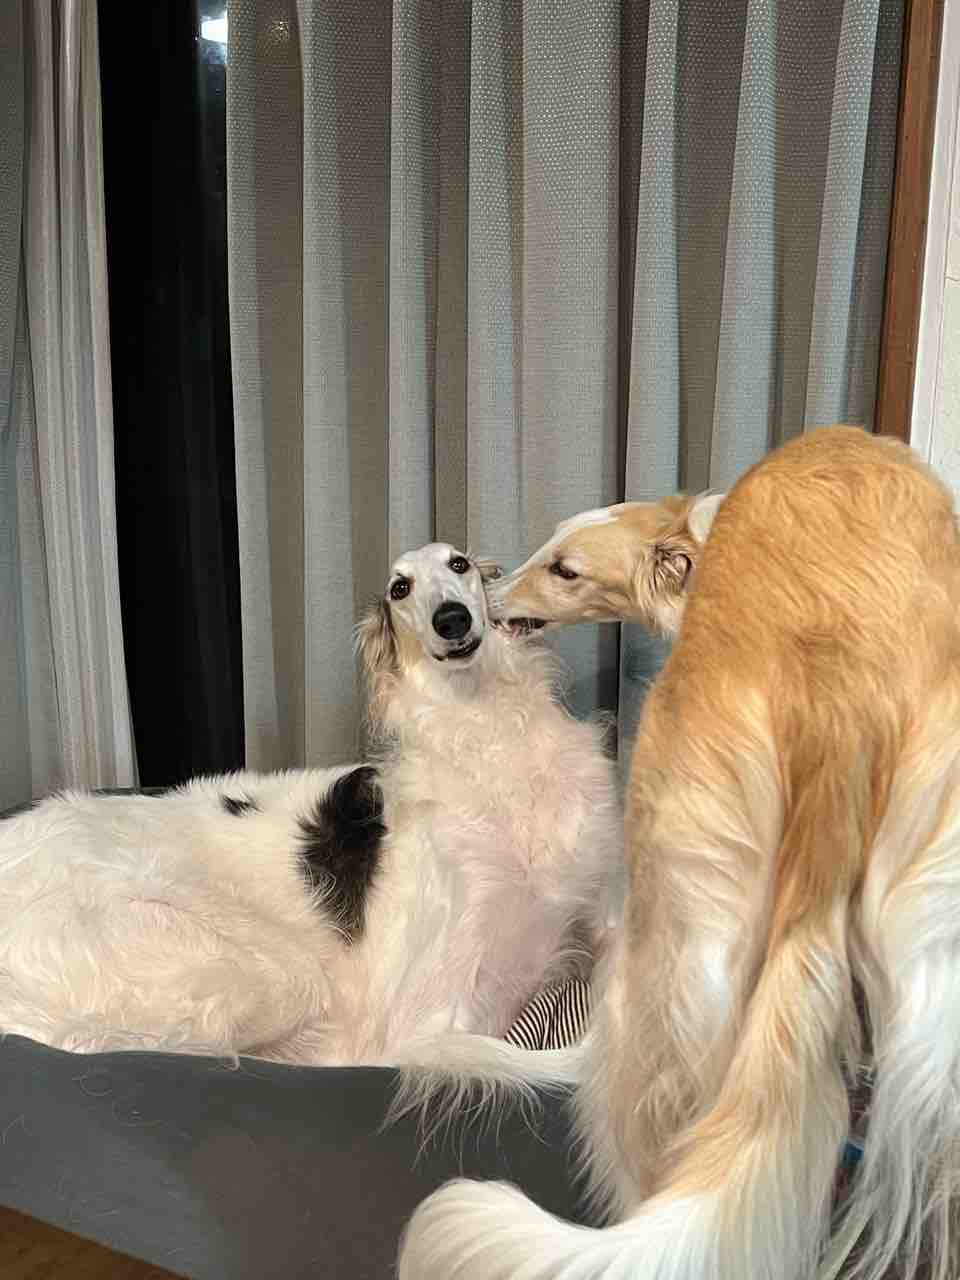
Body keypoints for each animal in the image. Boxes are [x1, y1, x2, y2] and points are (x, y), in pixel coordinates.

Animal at [0, 542, 621, 1108]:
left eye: (460, 564)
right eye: (400, 589)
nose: (452, 619)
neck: (487, 733)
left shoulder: (597, 912)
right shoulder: (421, 1027)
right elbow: (579, 1061)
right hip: (266, 970)